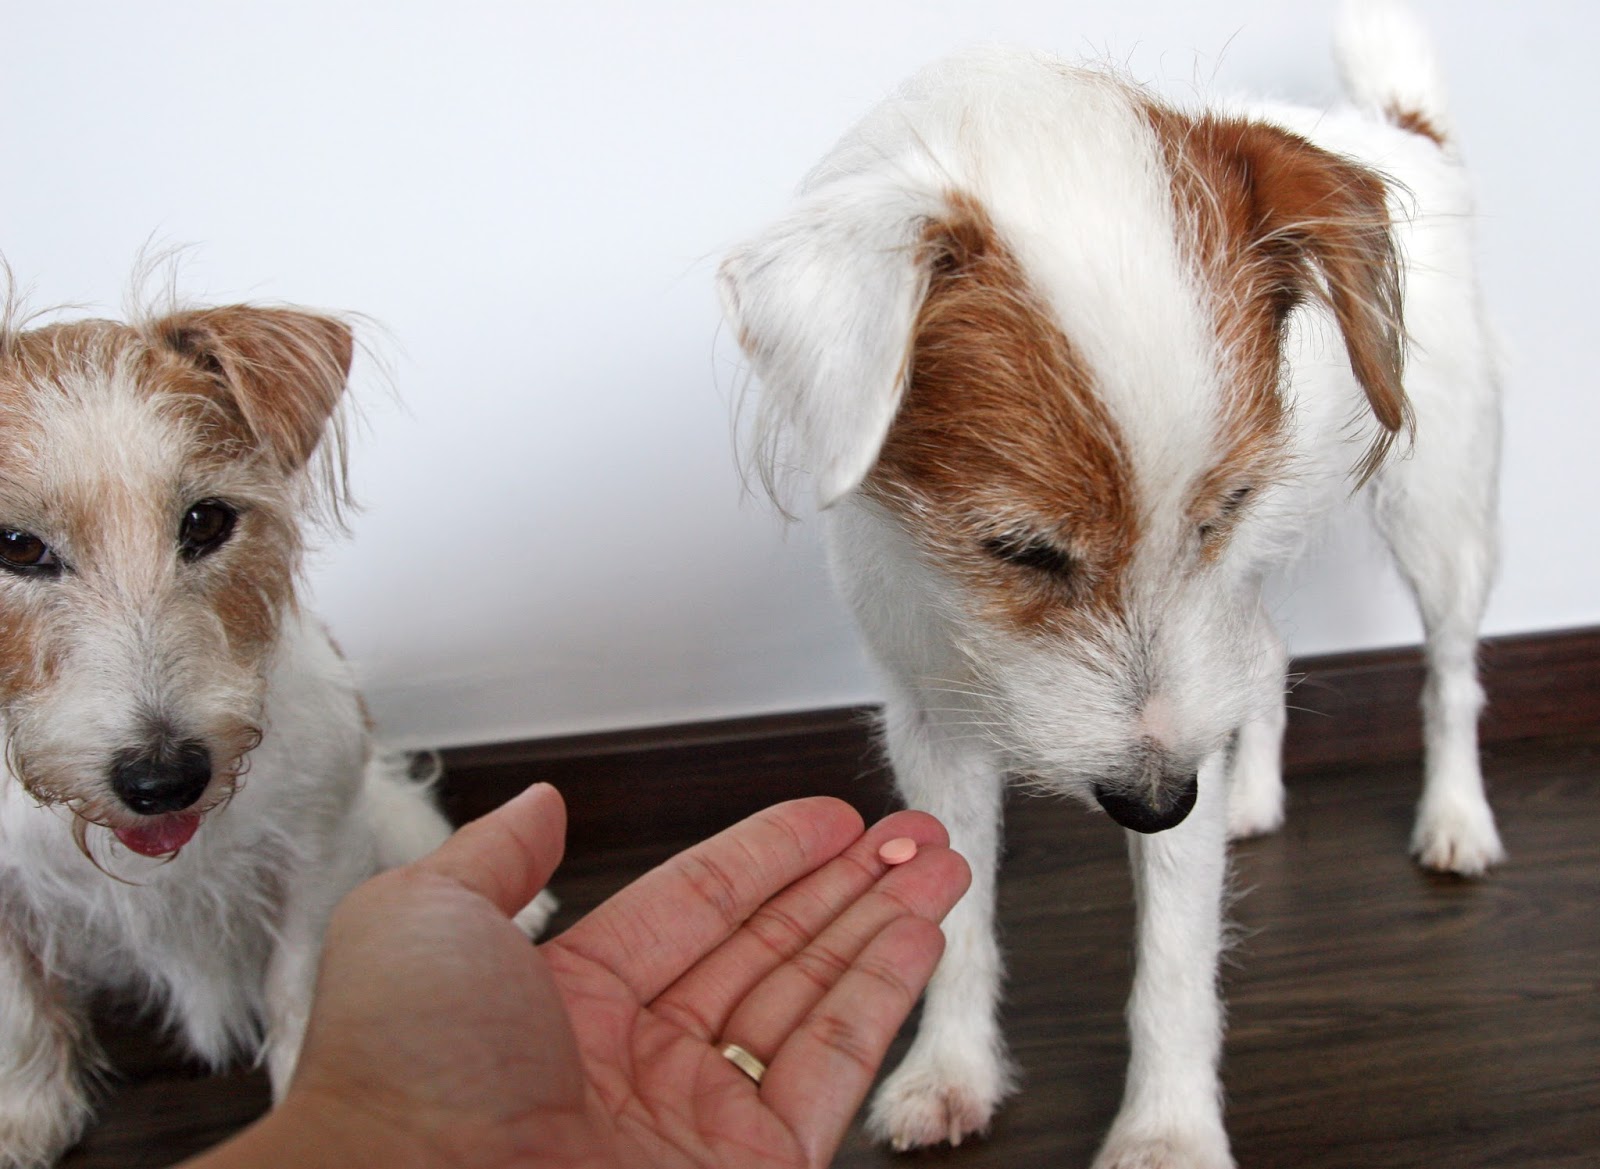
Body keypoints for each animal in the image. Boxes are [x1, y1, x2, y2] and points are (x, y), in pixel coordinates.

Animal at [0, 300, 554, 1167]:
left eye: (207, 520)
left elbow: (300, 976)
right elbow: (15, 1009)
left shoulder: (318, 843)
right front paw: (25, 1115)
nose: (164, 778)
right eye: (17, 545)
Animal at [719, 2, 1501, 1164]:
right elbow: (953, 912)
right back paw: (1252, 798)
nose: (1161, 802)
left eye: (1219, 509)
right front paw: (947, 1070)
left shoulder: (1188, 679)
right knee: (1267, 659)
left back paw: (1453, 816)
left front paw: (1167, 1130)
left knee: (1451, 672)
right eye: (1021, 549)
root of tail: (1395, 129)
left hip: (1436, 510)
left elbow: (1174, 960)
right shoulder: (933, 720)